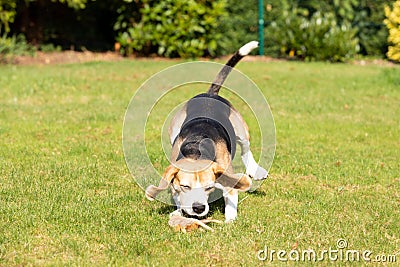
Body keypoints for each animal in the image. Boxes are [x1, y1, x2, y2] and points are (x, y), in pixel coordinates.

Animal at [145, 40, 268, 223]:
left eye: (208, 187)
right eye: (185, 186)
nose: (199, 208)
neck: (196, 150)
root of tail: (210, 94)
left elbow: (231, 195)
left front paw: (229, 221)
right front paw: (179, 213)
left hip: (240, 129)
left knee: (246, 148)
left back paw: (255, 170)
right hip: (174, 129)